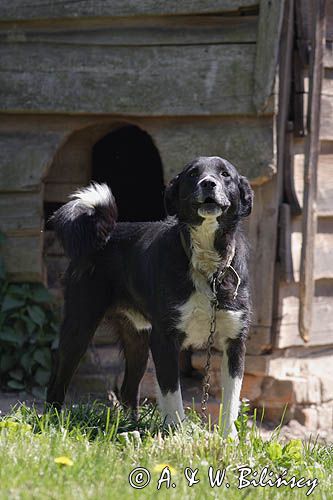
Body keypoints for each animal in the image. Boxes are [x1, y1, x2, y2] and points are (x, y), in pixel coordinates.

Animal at [46, 154, 252, 436]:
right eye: (192, 174)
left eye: (225, 174)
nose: (208, 183)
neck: (206, 265)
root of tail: (104, 234)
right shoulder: (164, 339)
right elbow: (172, 394)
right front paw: (177, 435)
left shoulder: (234, 341)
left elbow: (231, 401)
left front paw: (228, 439)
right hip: (80, 326)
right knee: (57, 376)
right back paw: (52, 421)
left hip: (138, 341)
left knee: (127, 389)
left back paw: (131, 427)